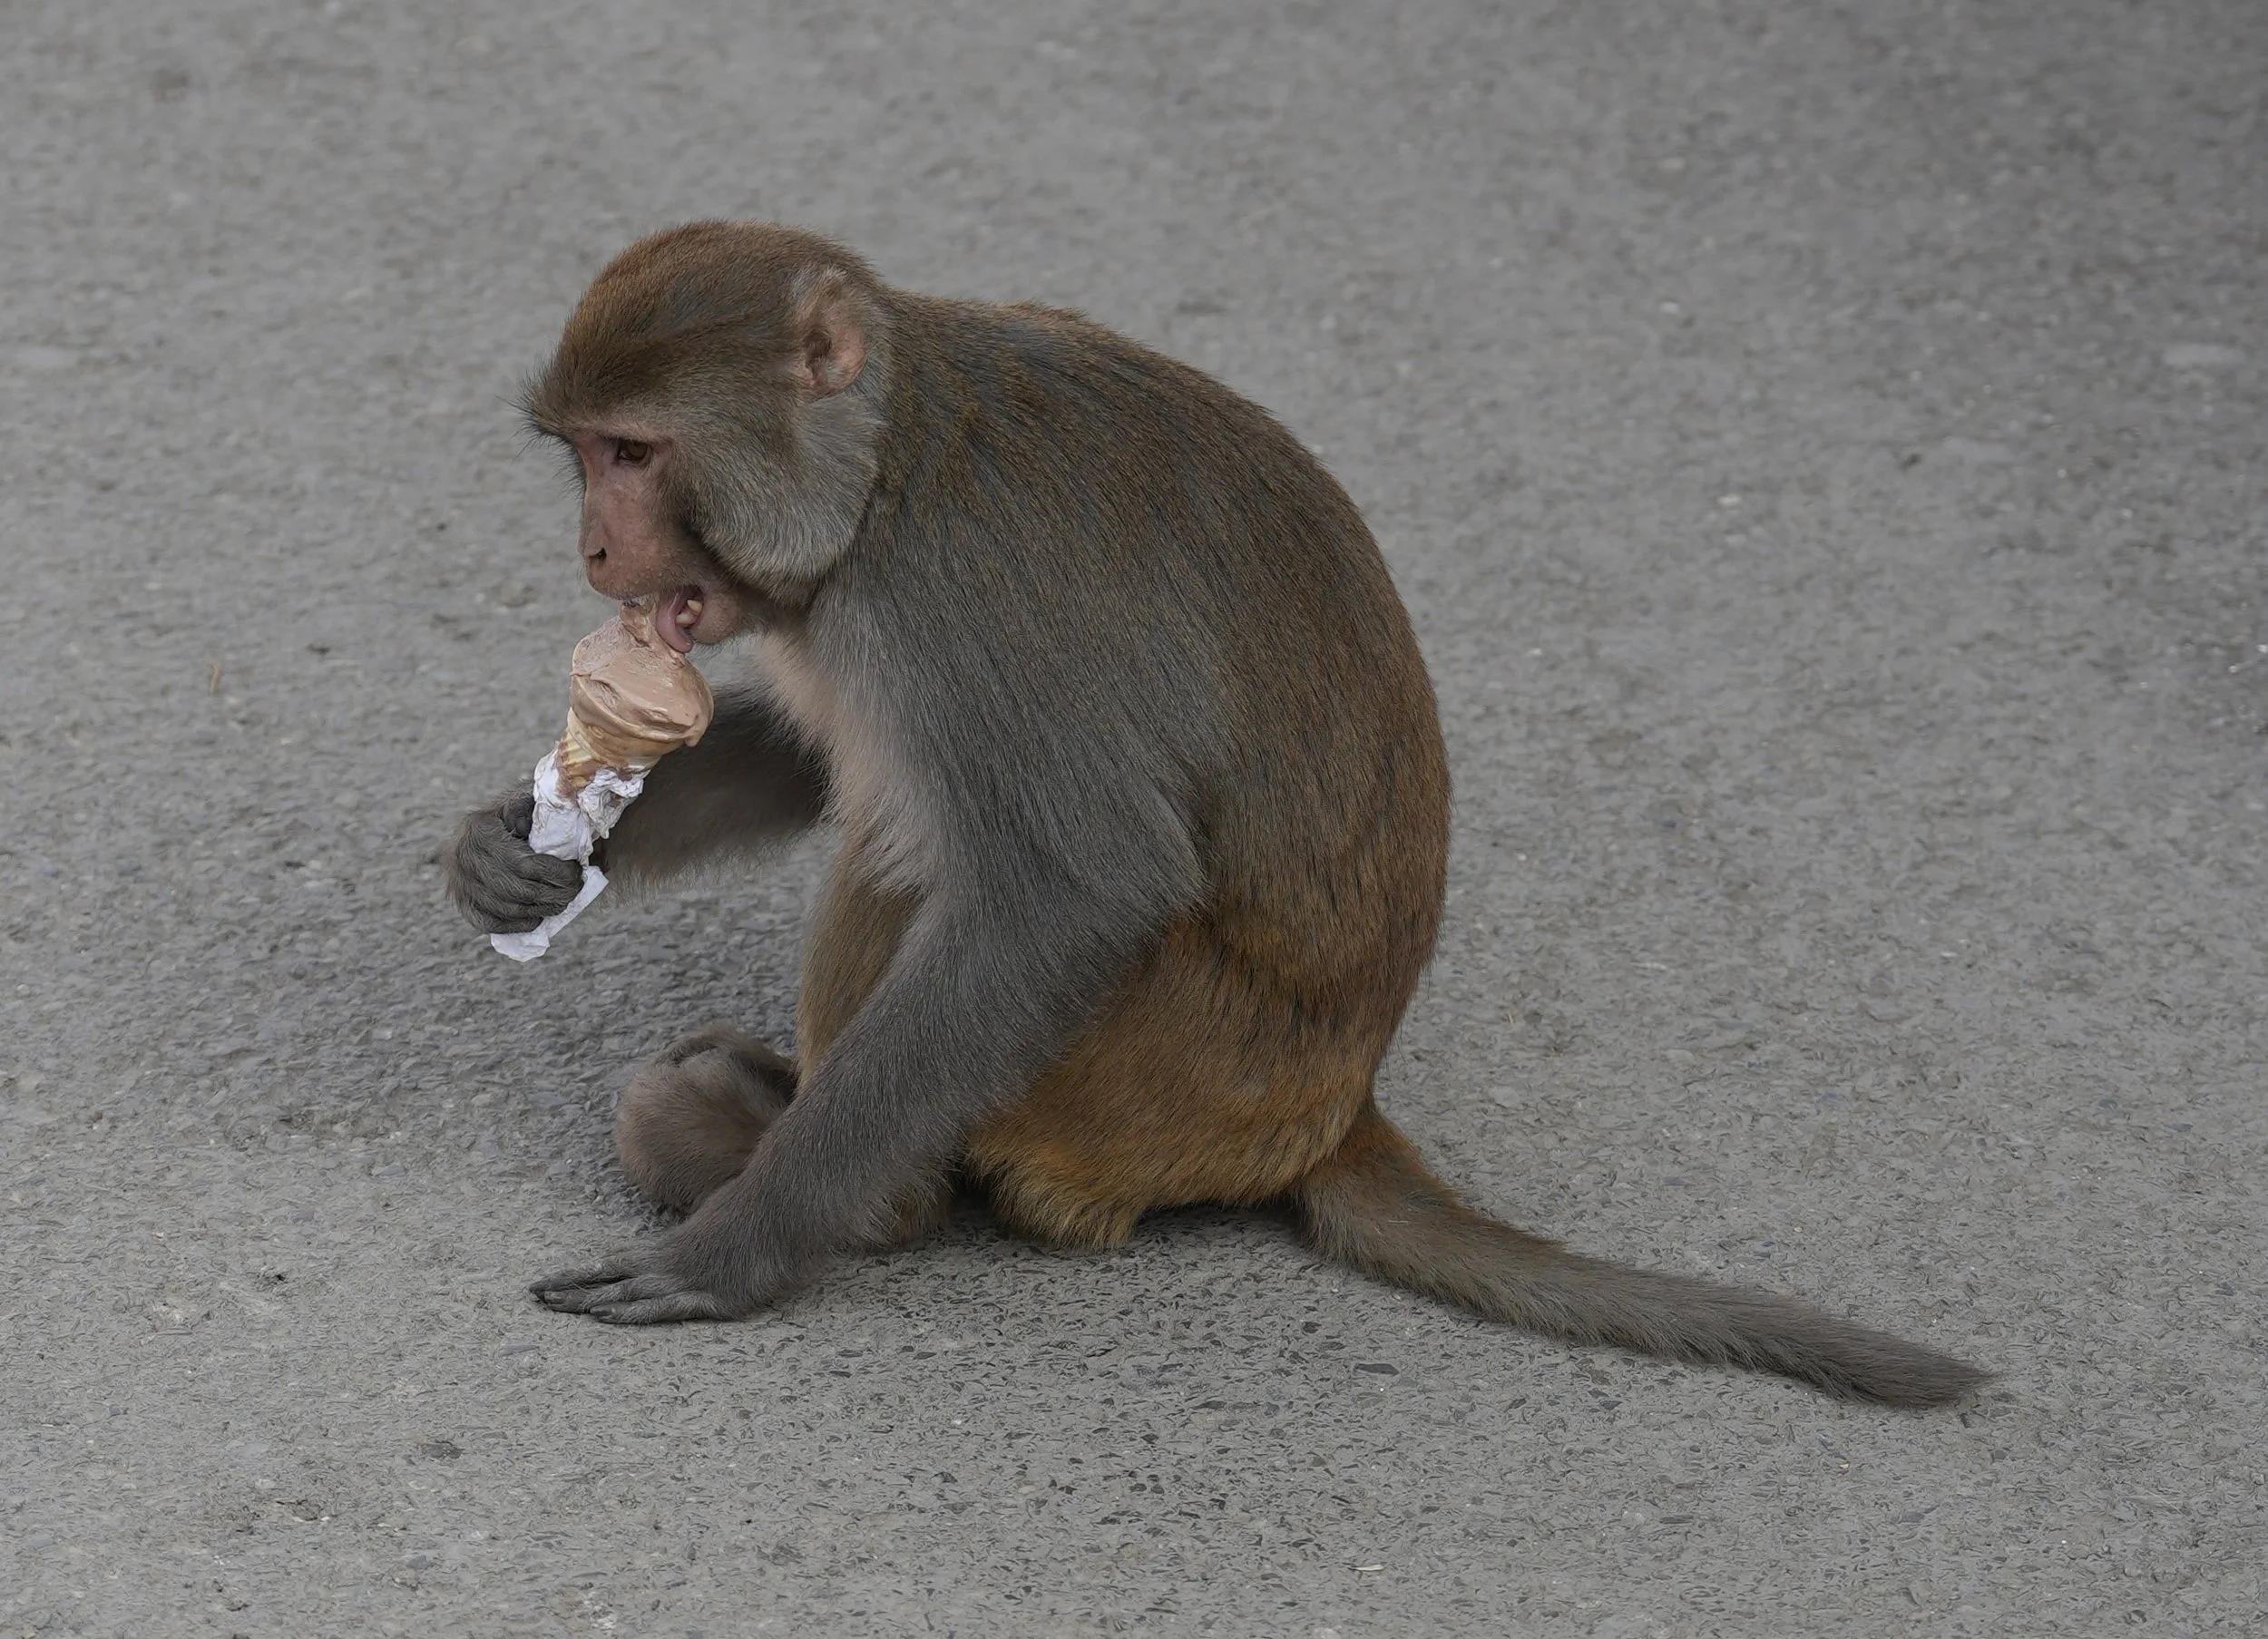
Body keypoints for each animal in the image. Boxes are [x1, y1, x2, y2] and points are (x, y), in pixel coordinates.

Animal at [444, 220, 1987, 1406]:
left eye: (634, 453)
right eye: (584, 453)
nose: (595, 549)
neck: (884, 474)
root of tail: (1334, 1111)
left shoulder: (969, 596)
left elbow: (1082, 883)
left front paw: (733, 1254)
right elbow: (823, 759)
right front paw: (518, 850)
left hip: (1165, 1068)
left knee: (920, 855)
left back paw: (866, 1192)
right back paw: (732, 1108)